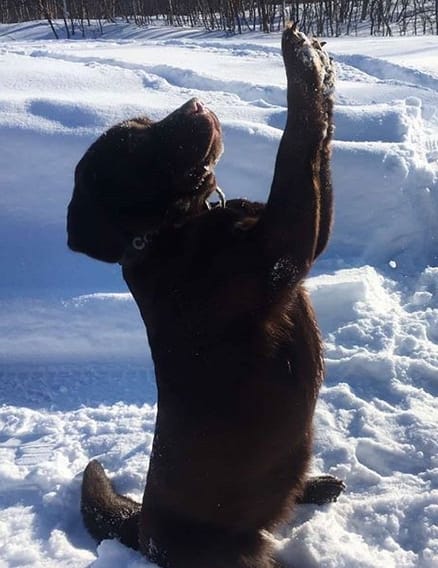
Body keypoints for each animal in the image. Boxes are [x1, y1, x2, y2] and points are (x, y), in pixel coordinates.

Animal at [67, 24, 344, 568]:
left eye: (146, 122)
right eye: (134, 145)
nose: (194, 105)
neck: (175, 226)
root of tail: (141, 529)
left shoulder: (299, 240)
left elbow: (312, 152)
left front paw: (316, 62)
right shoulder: (283, 249)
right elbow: (295, 143)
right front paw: (301, 62)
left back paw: (317, 485)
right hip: (233, 551)